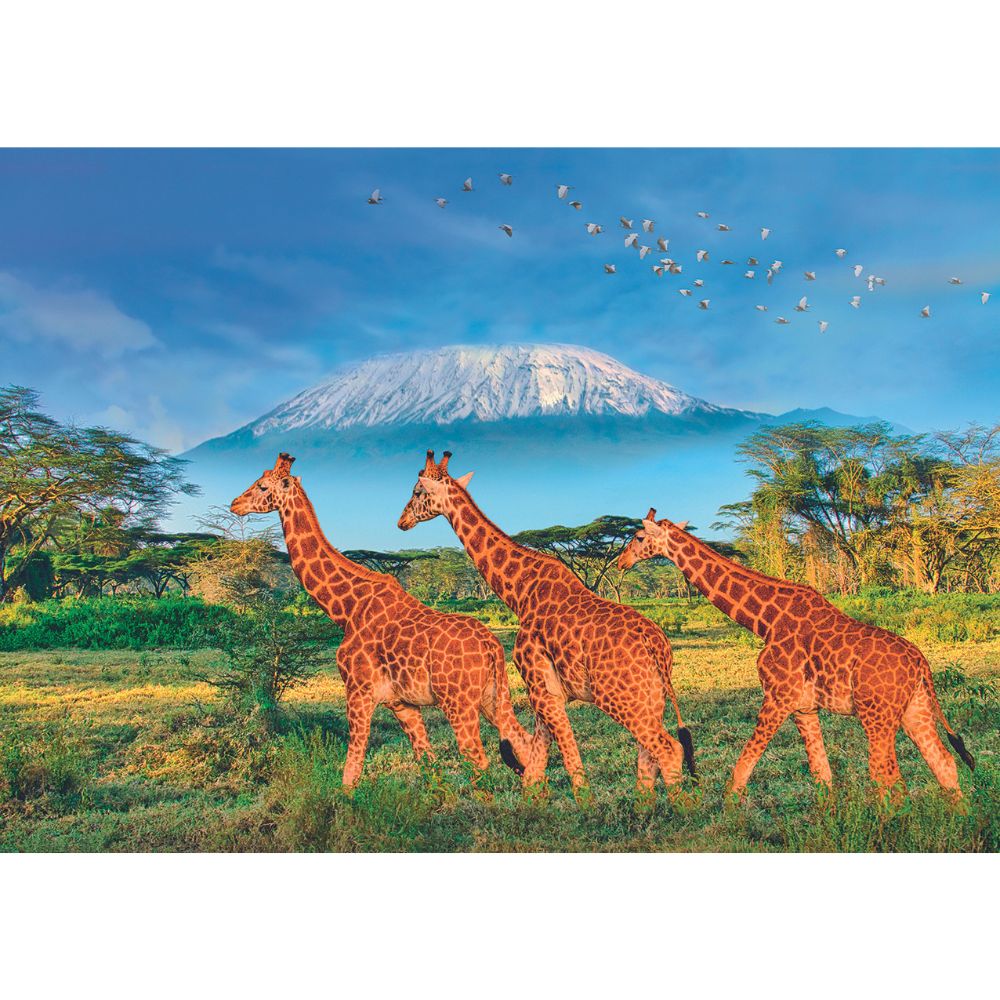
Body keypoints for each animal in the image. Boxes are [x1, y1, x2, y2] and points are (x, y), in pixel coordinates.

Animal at [229, 453, 532, 789]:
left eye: (262, 485)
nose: (235, 504)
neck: (346, 609)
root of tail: (492, 646)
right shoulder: (402, 704)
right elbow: (428, 764)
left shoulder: (358, 691)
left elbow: (351, 772)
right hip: (495, 696)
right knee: (524, 742)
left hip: (459, 703)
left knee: (479, 759)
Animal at [396, 450, 696, 802]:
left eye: (417, 491)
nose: (401, 521)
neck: (520, 593)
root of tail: (656, 645)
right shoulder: (543, 691)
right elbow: (535, 769)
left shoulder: (543, 690)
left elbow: (570, 765)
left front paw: (584, 805)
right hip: (651, 694)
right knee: (648, 754)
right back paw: (643, 806)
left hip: (618, 695)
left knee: (668, 749)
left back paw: (683, 809)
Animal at [618, 510, 976, 798]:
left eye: (638, 537)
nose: (621, 562)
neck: (765, 621)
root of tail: (921, 664)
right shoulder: (804, 707)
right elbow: (822, 774)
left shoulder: (778, 696)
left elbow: (742, 769)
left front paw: (729, 817)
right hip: (915, 708)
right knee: (944, 763)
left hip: (878, 714)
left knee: (888, 776)